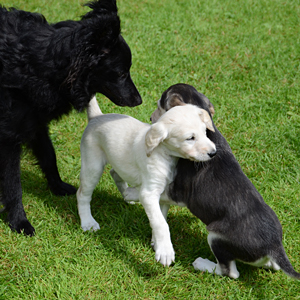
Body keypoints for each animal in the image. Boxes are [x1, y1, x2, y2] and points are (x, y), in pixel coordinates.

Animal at [0, 0, 142, 236]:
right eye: (122, 73)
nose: (139, 100)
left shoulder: (36, 121)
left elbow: (49, 156)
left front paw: (57, 186)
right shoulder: (9, 136)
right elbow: (12, 184)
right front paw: (19, 221)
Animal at [75, 96, 216, 264]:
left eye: (205, 132)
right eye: (190, 138)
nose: (213, 153)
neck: (163, 153)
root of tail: (97, 117)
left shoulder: (163, 194)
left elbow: (160, 217)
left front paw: (156, 243)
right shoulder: (150, 193)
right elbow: (161, 223)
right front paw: (165, 250)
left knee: (115, 173)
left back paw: (128, 196)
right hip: (93, 166)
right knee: (82, 194)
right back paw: (88, 222)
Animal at [150, 84, 300, 278]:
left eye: (160, 107)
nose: (151, 119)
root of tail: (273, 246)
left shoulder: (179, 193)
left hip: (216, 237)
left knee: (229, 271)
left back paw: (202, 264)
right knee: (271, 265)